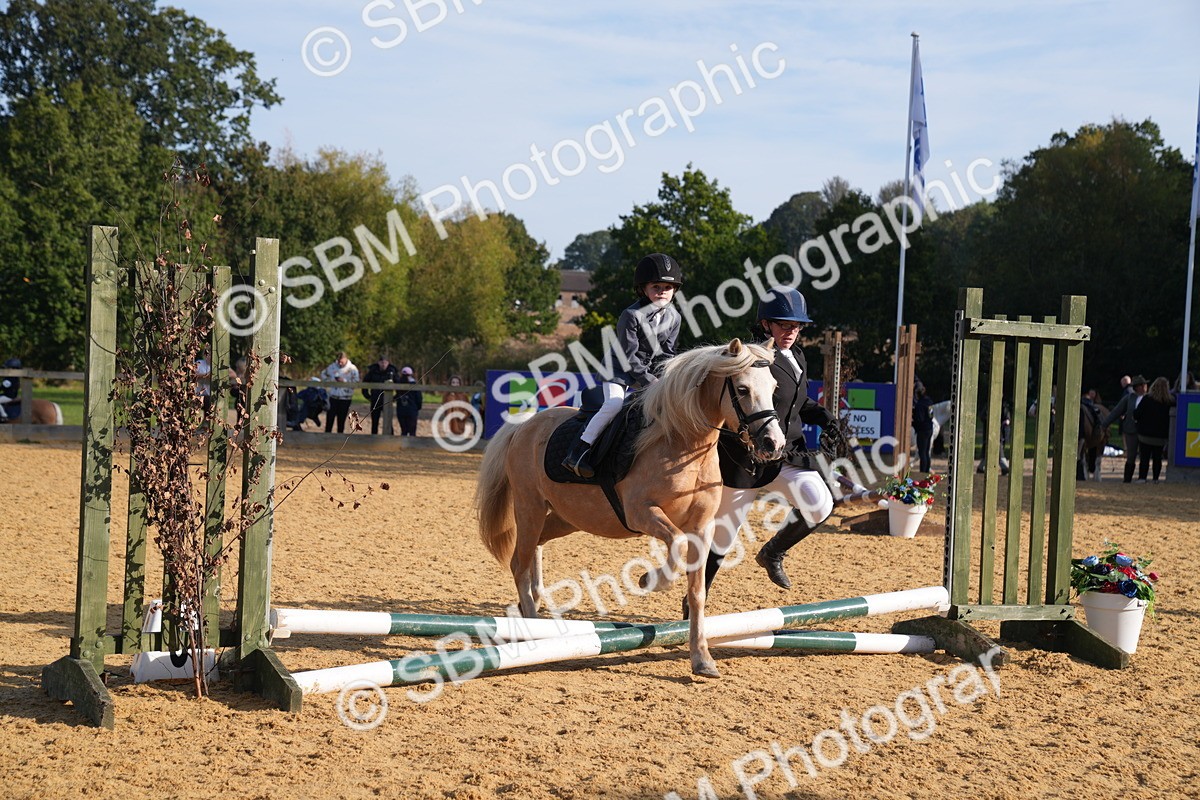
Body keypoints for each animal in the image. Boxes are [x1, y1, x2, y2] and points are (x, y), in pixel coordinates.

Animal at [475, 339, 786, 678]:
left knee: (535, 547)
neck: (683, 442)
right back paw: (532, 625)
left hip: (566, 517)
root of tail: (524, 426)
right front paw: (650, 581)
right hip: (529, 505)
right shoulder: (642, 513)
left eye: (773, 387)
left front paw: (702, 658)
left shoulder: (702, 528)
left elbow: (697, 592)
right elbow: (676, 543)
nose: (774, 443)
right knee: (519, 562)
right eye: (742, 389)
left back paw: (535, 597)